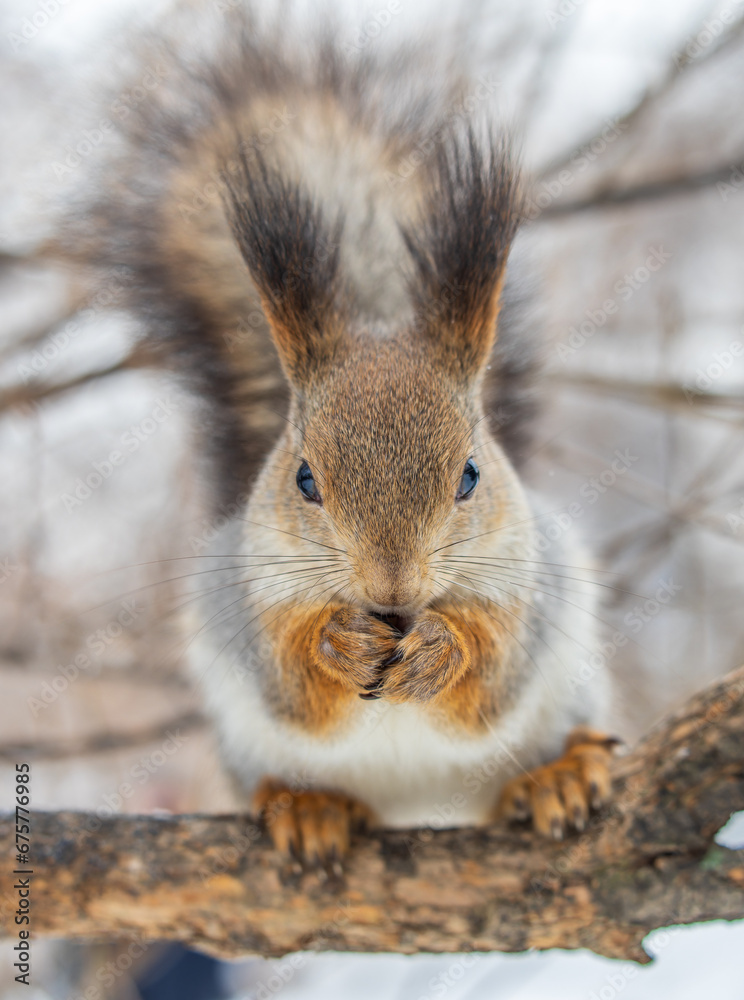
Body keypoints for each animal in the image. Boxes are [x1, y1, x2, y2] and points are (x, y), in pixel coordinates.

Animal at [54, 4, 617, 864]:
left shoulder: (530, 587)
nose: (391, 590)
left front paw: (443, 647)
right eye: (304, 479)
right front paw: (337, 643)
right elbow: (291, 678)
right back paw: (307, 804)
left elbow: (492, 670)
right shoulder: (248, 603)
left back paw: (557, 774)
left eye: (471, 475)